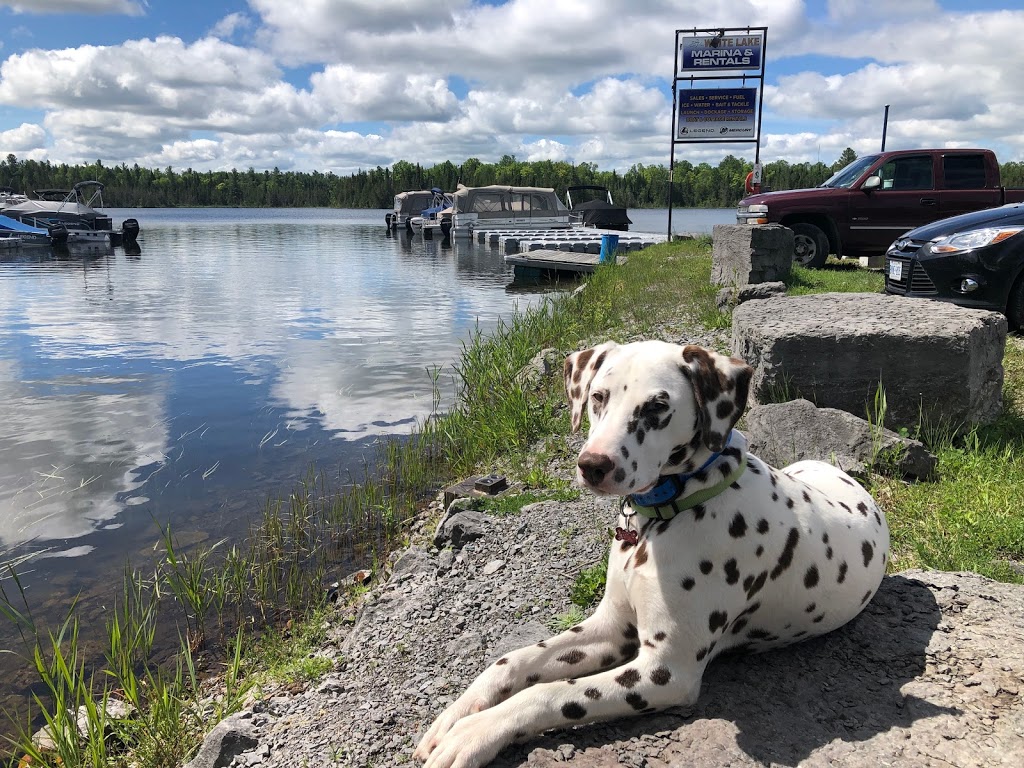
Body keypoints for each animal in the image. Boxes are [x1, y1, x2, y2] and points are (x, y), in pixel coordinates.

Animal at [415, 342, 888, 768]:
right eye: (598, 397)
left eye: (657, 407)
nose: (593, 465)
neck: (665, 515)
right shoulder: (609, 628)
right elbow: (514, 659)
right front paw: (457, 714)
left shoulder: (663, 672)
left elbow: (553, 691)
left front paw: (475, 734)